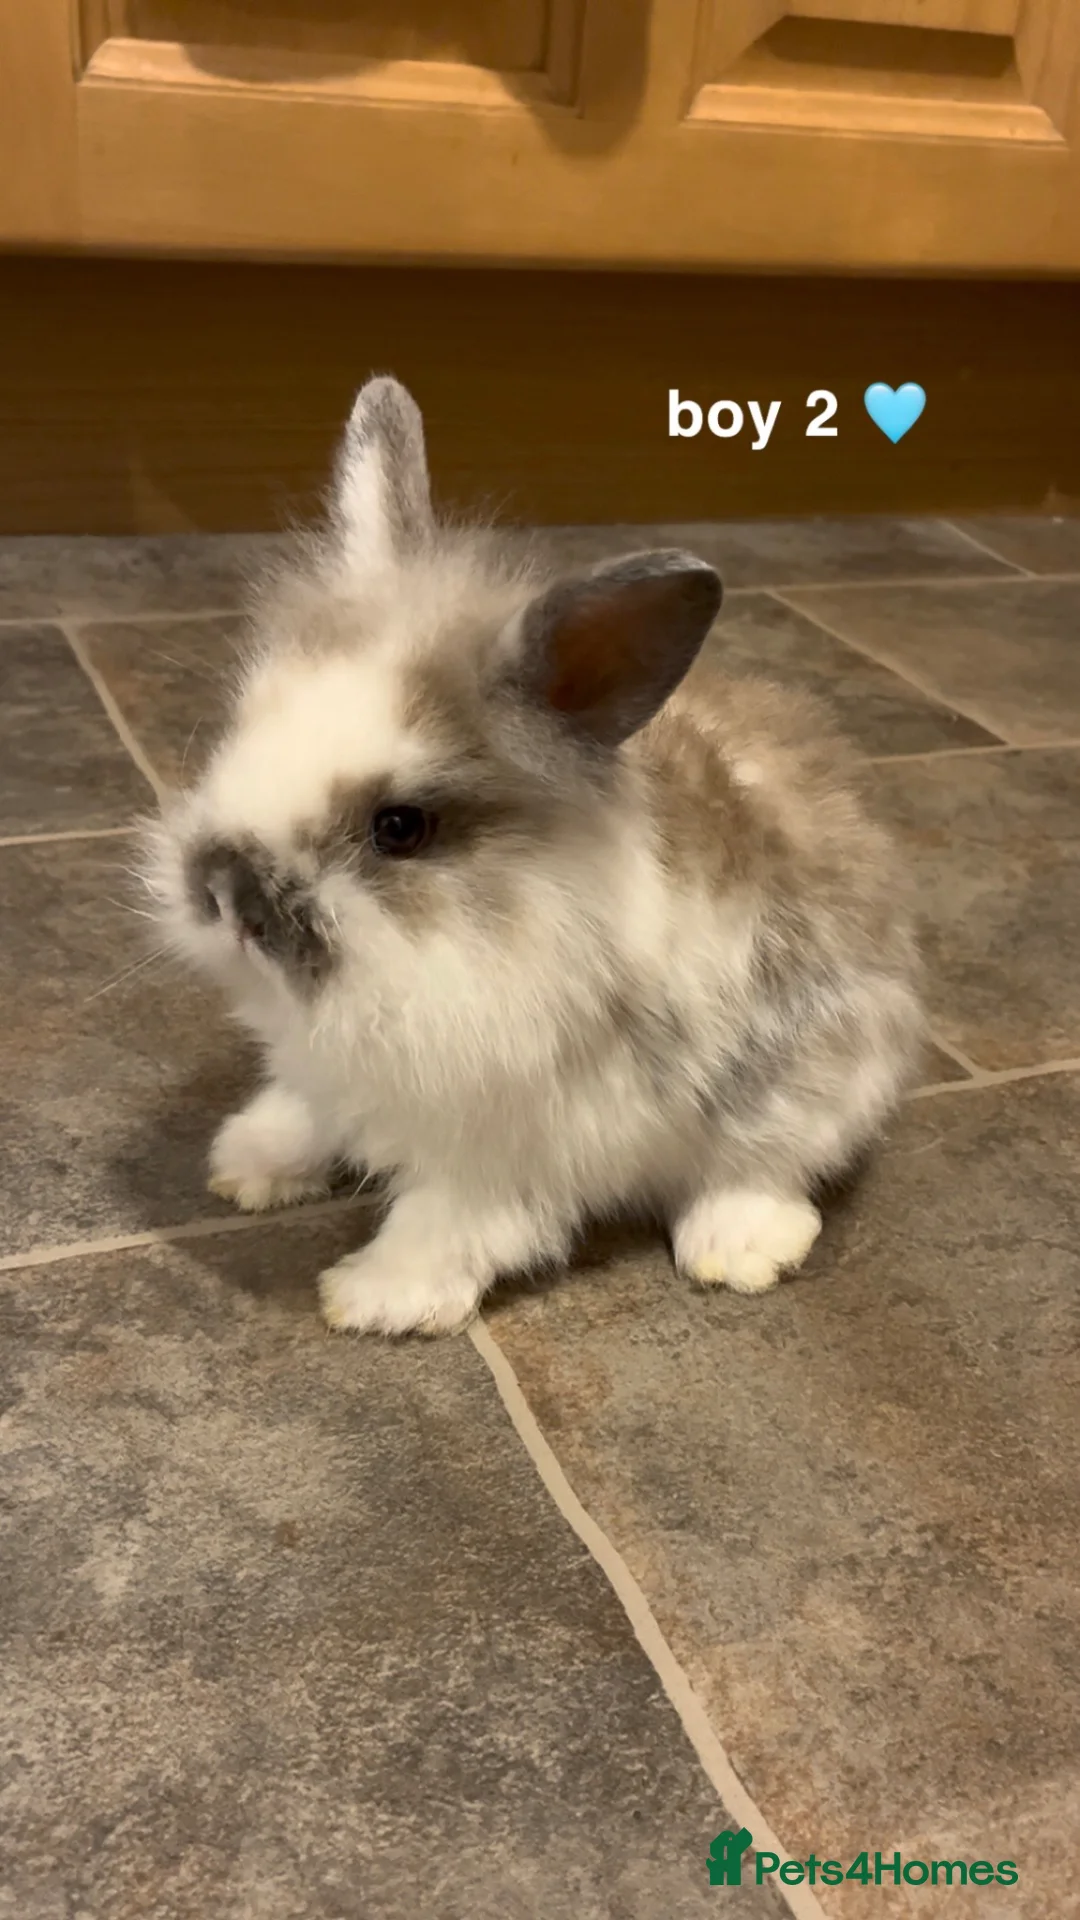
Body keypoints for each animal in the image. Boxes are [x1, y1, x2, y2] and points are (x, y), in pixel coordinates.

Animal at [142, 374, 924, 1337]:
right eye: (245, 730)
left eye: (399, 827)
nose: (225, 894)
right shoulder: (329, 1071)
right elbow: (307, 1112)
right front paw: (250, 1163)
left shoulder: (502, 1149)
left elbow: (445, 1223)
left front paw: (373, 1297)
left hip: (813, 1079)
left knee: (769, 1169)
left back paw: (736, 1250)